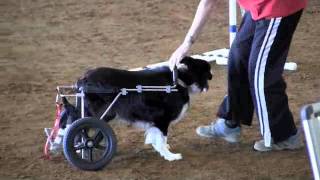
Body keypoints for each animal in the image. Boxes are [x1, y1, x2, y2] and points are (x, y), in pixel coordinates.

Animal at [62, 57, 212, 161]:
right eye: (207, 70)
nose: (212, 75)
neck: (180, 80)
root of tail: (83, 79)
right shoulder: (161, 119)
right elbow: (162, 138)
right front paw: (170, 156)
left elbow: (157, 137)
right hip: (100, 113)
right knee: (78, 127)